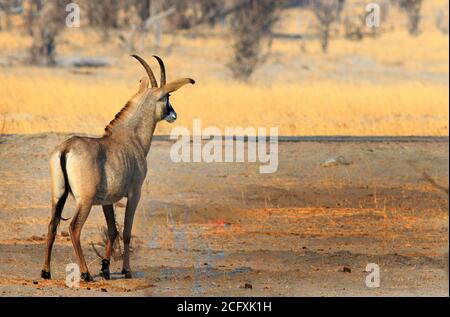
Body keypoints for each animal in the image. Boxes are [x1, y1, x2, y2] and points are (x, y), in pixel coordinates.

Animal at [42, 55, 195, 282]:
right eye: (167, 96)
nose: (174, 114)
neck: (131, 137)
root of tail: (66, 148)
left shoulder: (107, 200)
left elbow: (113, 230)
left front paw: (105, 269)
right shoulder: (134, 194)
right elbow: (126, 232)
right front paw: (126, 270)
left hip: (58, 195)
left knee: (52, 225)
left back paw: (46, 272)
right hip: (84, 200)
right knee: (74, 228)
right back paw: (86, 273)